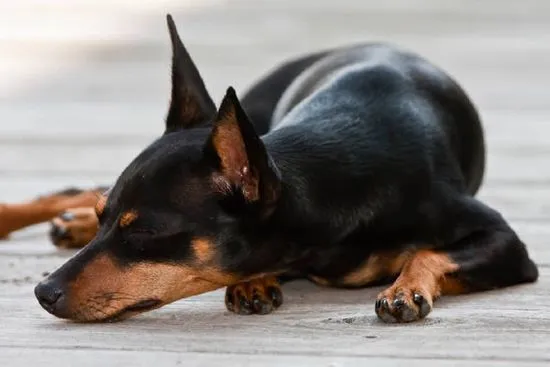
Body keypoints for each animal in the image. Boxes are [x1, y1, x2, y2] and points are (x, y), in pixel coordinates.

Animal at [31, 15, 540, 324]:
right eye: (107, 219)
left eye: (145, 234)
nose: (43, 292)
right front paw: (255, 279)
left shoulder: (508, 244)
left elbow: (427, 252)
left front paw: (405, 288)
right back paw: (65, 218)